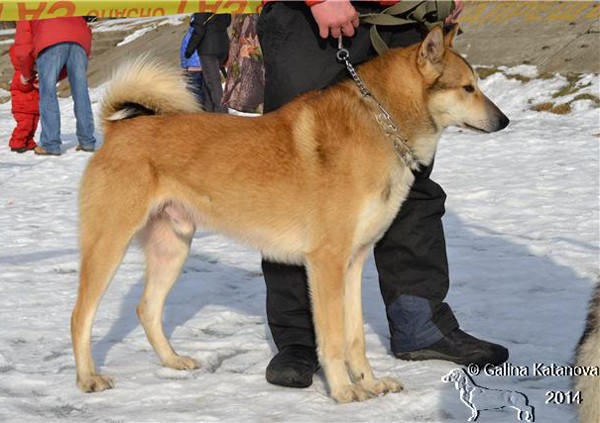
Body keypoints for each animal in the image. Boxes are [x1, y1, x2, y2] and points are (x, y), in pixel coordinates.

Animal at [71, 26, 509, 403]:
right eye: (467, 88)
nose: (503, 120)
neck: (380, 124)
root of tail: (117, 131)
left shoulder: (353, 263)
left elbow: (354, 338)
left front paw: (369, 383)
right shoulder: (326, 263)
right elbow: (332, 337)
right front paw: (344, 391)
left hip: (173, 247)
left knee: (147, 309)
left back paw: (173, 361)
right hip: (109, 246)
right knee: (81, 316)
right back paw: (89, 378)